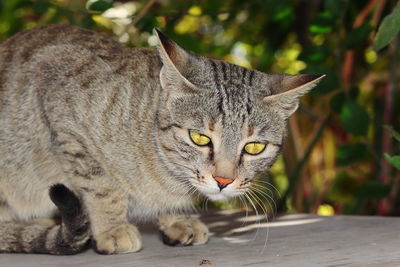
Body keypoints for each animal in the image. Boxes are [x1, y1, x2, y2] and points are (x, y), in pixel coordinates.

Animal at [0, 24, 324, 255]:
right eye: (200, 138)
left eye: (254, 147)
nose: (223, 180)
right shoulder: (61, 106)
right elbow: (101, 186)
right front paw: (112, 227)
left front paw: (178, 217)